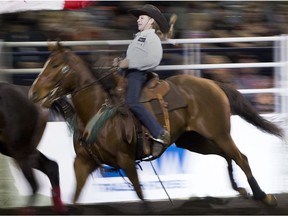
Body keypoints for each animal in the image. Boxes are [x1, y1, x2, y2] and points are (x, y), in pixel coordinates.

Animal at [28, 41, 284, 208]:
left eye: (55, 66)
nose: (33, 93)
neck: (97, 110)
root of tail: (212, 83)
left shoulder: (126, 160)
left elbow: (141, 196)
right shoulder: (82, 163)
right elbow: (74, 199)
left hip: (219, 133)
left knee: (241, 157)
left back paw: (264, 196)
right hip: (194, 141)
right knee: (227, 156)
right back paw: (241, 190)